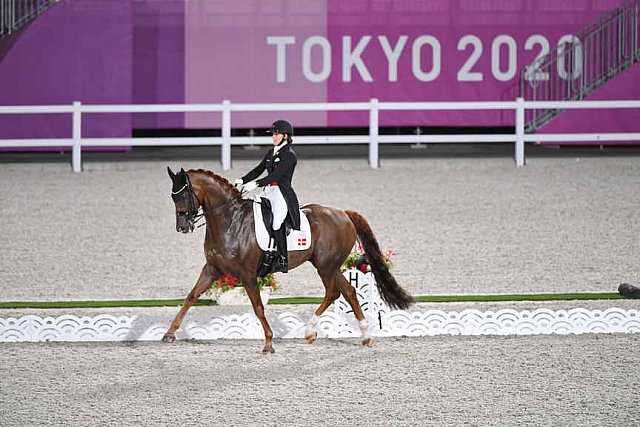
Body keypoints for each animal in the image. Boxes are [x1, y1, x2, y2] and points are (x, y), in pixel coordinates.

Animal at [164, 167, 416, 354]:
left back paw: (310, 330)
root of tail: (344, 213)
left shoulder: (247, 274)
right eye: (172, 196)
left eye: (183, 195)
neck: (229, 221)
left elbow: (258, 307)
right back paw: (364, 336)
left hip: (325, 266)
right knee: (349, 292)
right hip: (330, 266)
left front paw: (268, 343)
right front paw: (169, 333)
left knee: (333, 292)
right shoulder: (212, 268)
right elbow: (191, 297)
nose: (182, 227)